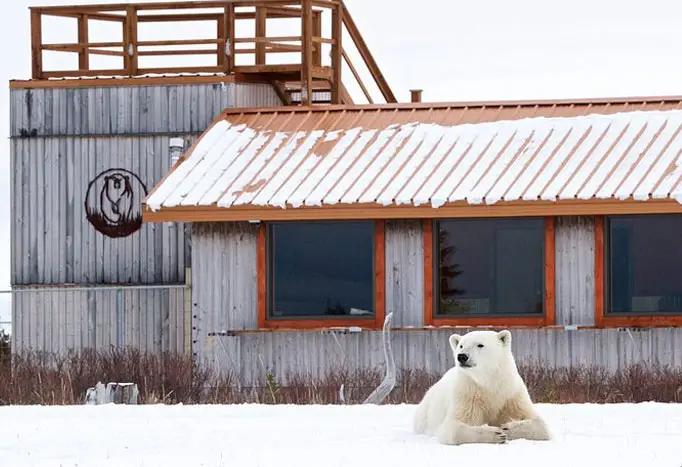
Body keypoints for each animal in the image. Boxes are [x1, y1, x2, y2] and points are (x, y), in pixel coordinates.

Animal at [413, 329, 551, 445]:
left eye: (480, 345)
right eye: (461, 345)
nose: (462, 356)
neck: (488, 383)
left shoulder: (511, 395)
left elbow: (541, 425)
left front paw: (507, 428)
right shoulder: (468, 395)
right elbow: (453, 428)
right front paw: (496, 433)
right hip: (426, 413)